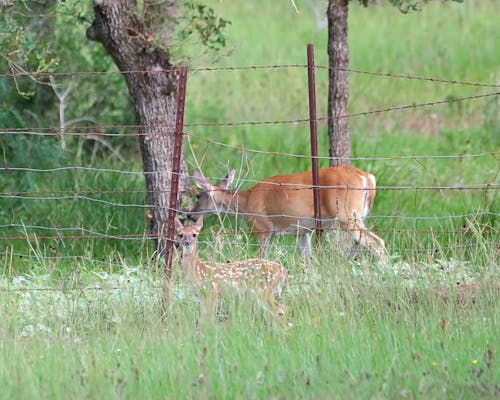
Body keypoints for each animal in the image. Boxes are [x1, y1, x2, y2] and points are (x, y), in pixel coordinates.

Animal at [191, 165, 386, 260]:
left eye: (198, 196)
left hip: (346, 214)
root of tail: (368, 178)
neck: (246, 202)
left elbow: (261, 258)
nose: (190, 215)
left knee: (377, 242)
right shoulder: (302, 231)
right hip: (358, 215)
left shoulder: (262, 228)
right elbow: (307, 258)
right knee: (361, 242)